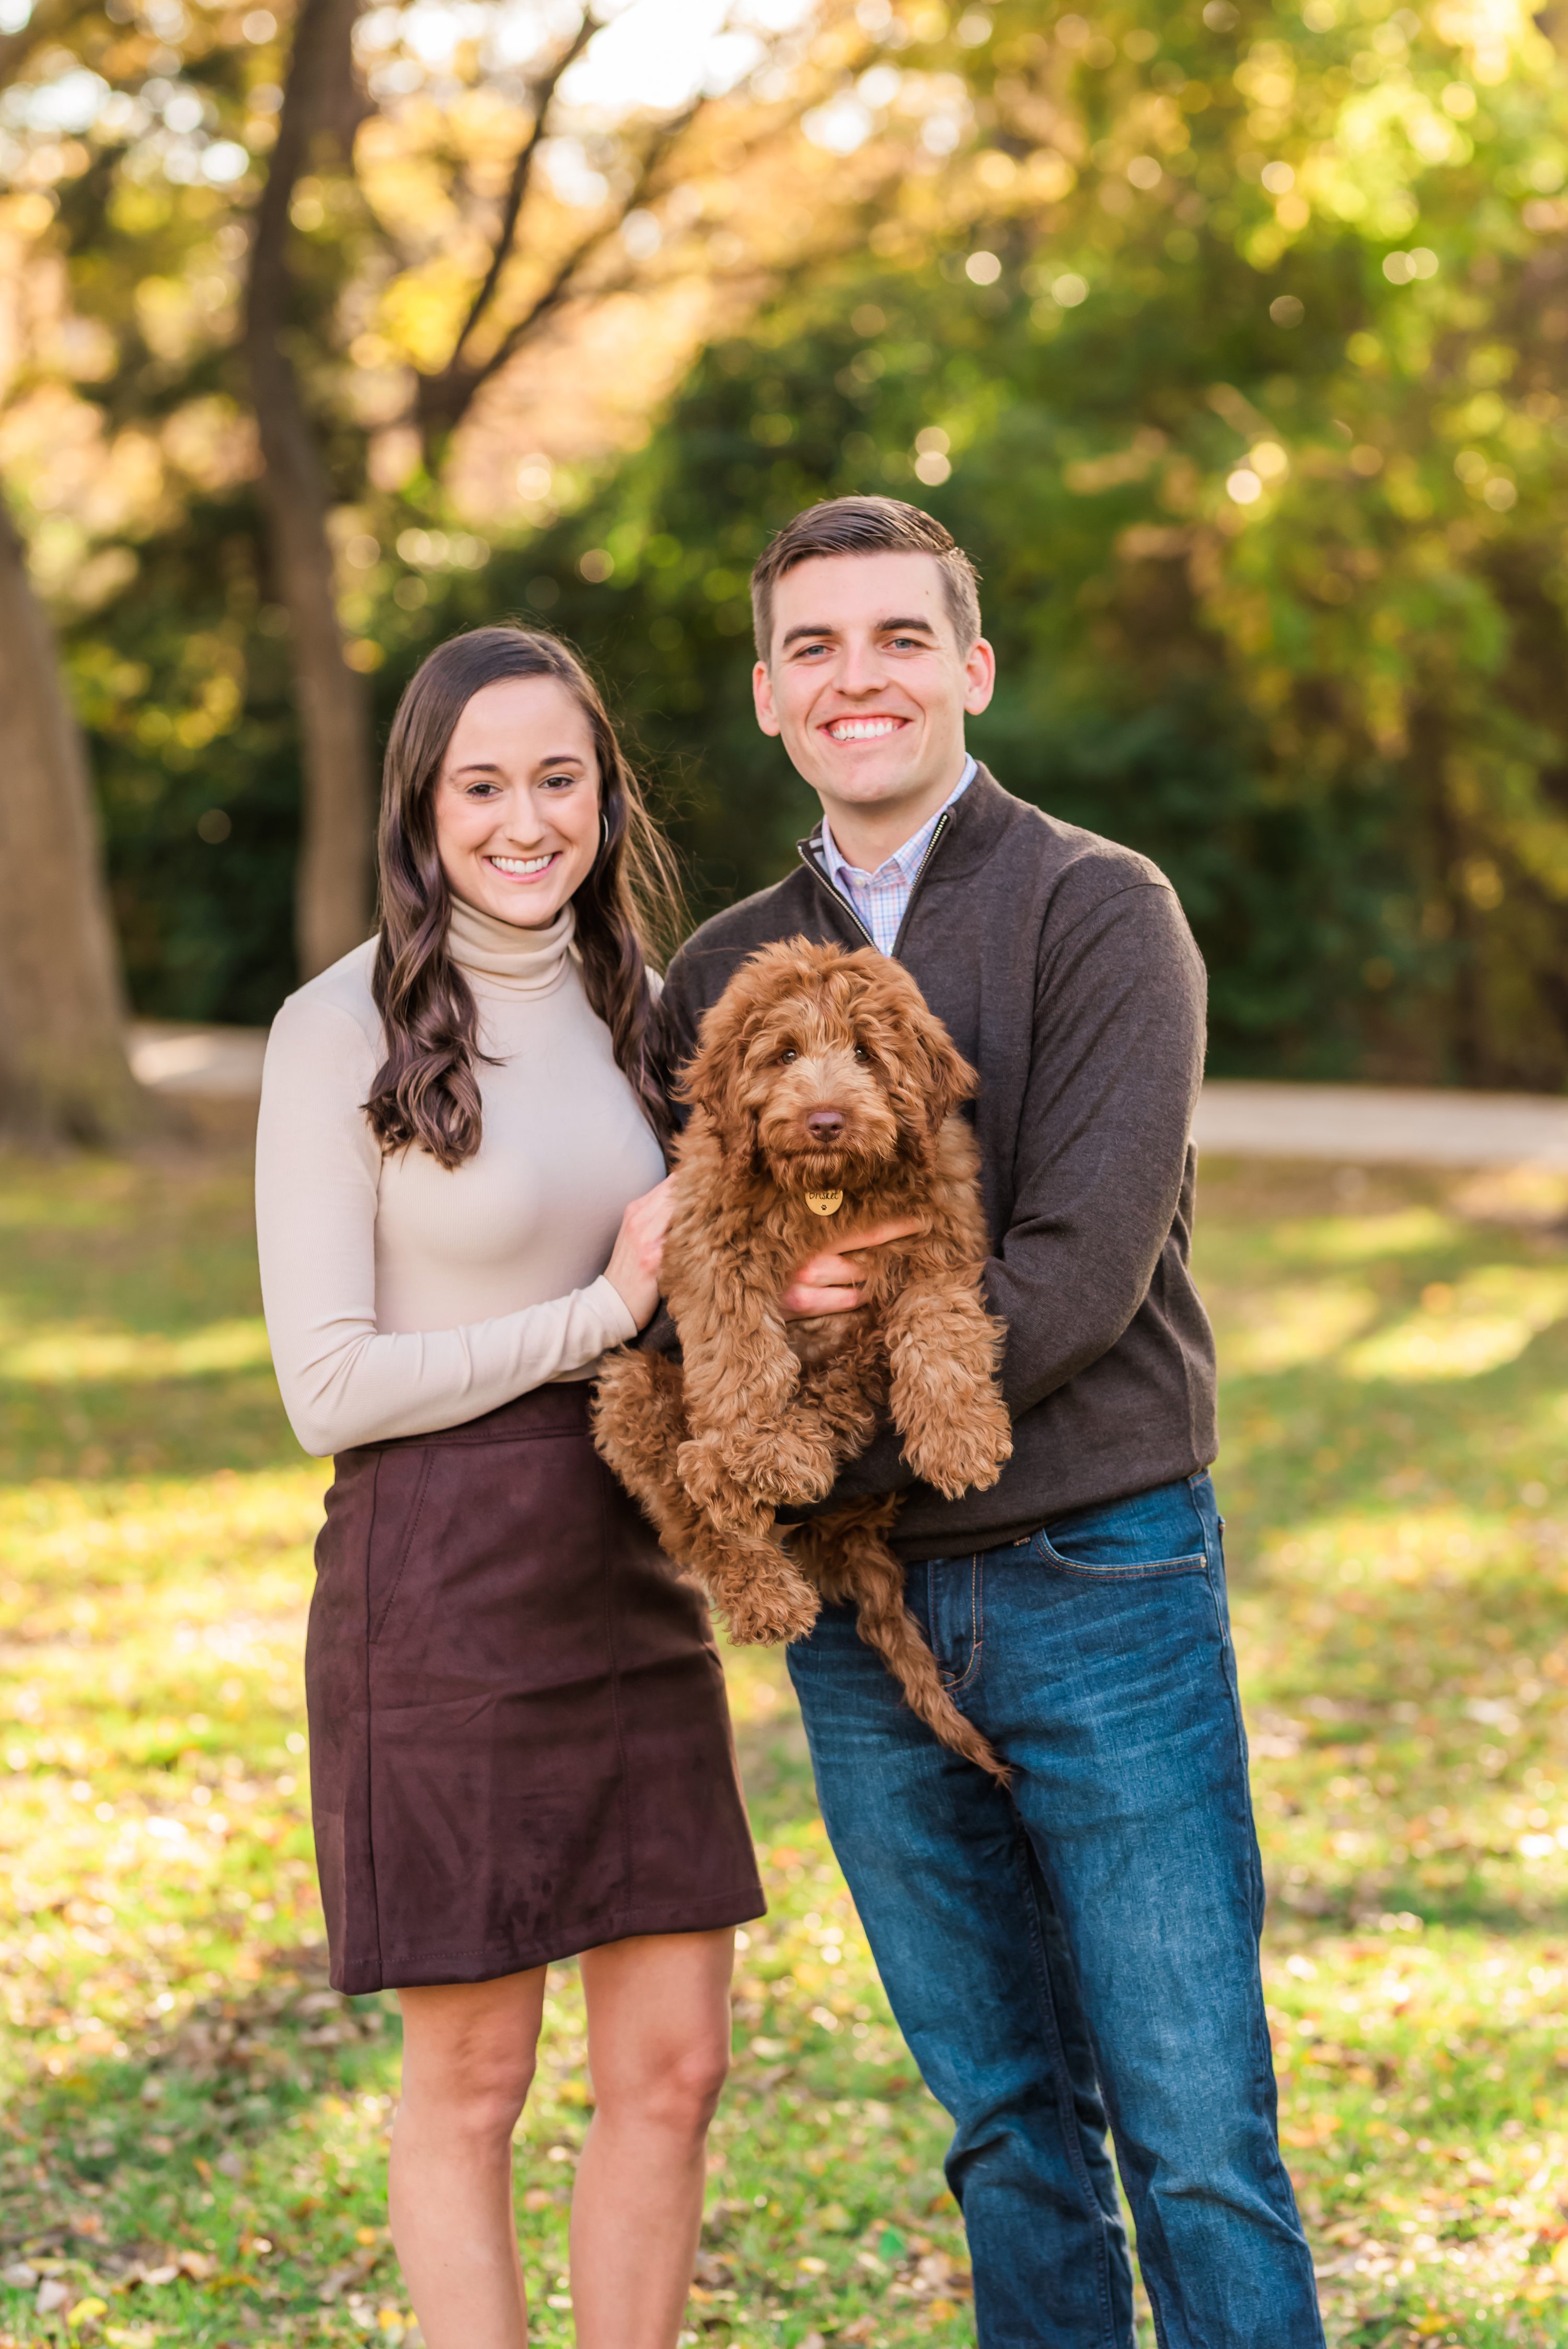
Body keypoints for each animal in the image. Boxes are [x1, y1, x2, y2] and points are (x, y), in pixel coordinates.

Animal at [591, 935, 1019, 1776]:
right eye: (784, 1052)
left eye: (864, 1052)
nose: (825, 1119)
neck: (828, 1191)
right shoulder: (709, 1239)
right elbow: (738, 1349)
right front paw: (751, 1439)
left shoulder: (940, 1248)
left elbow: (937, 1325)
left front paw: (958, 1436)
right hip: (629, 1391)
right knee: (695, 1516)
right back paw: (753, 1543)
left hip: (853, 1364)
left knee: (847, 1393)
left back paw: (794, 1451)